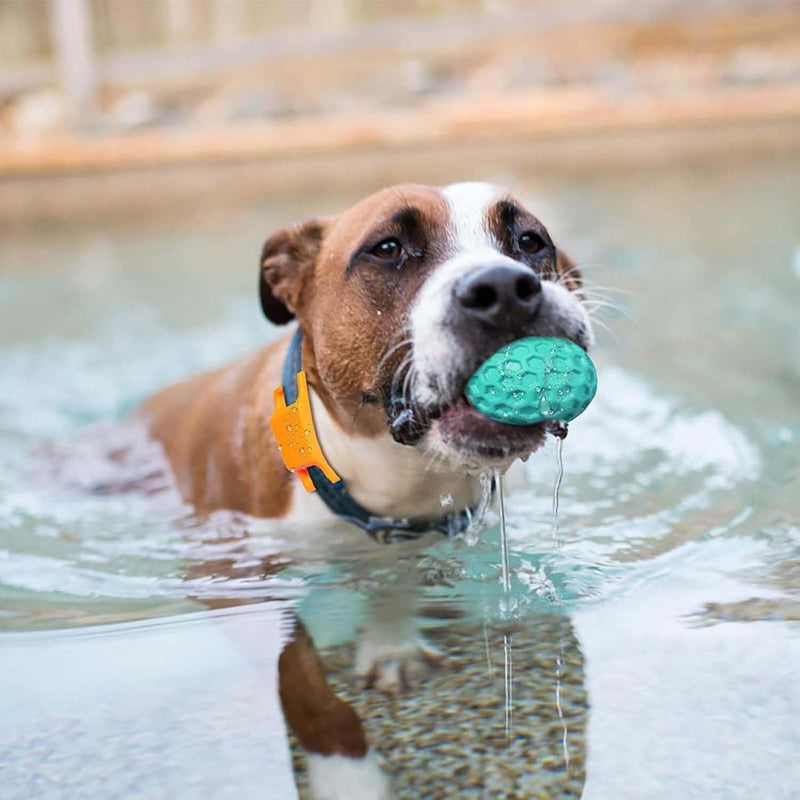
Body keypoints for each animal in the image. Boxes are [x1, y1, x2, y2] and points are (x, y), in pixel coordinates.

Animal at [139, 178, 592, 796]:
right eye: (388, 248)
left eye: (529, 240)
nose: (503, 287)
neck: (392, 473)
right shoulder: (236, 587)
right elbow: (307, 691)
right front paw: (349, 778)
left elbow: (394, 588)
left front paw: (391, 641)